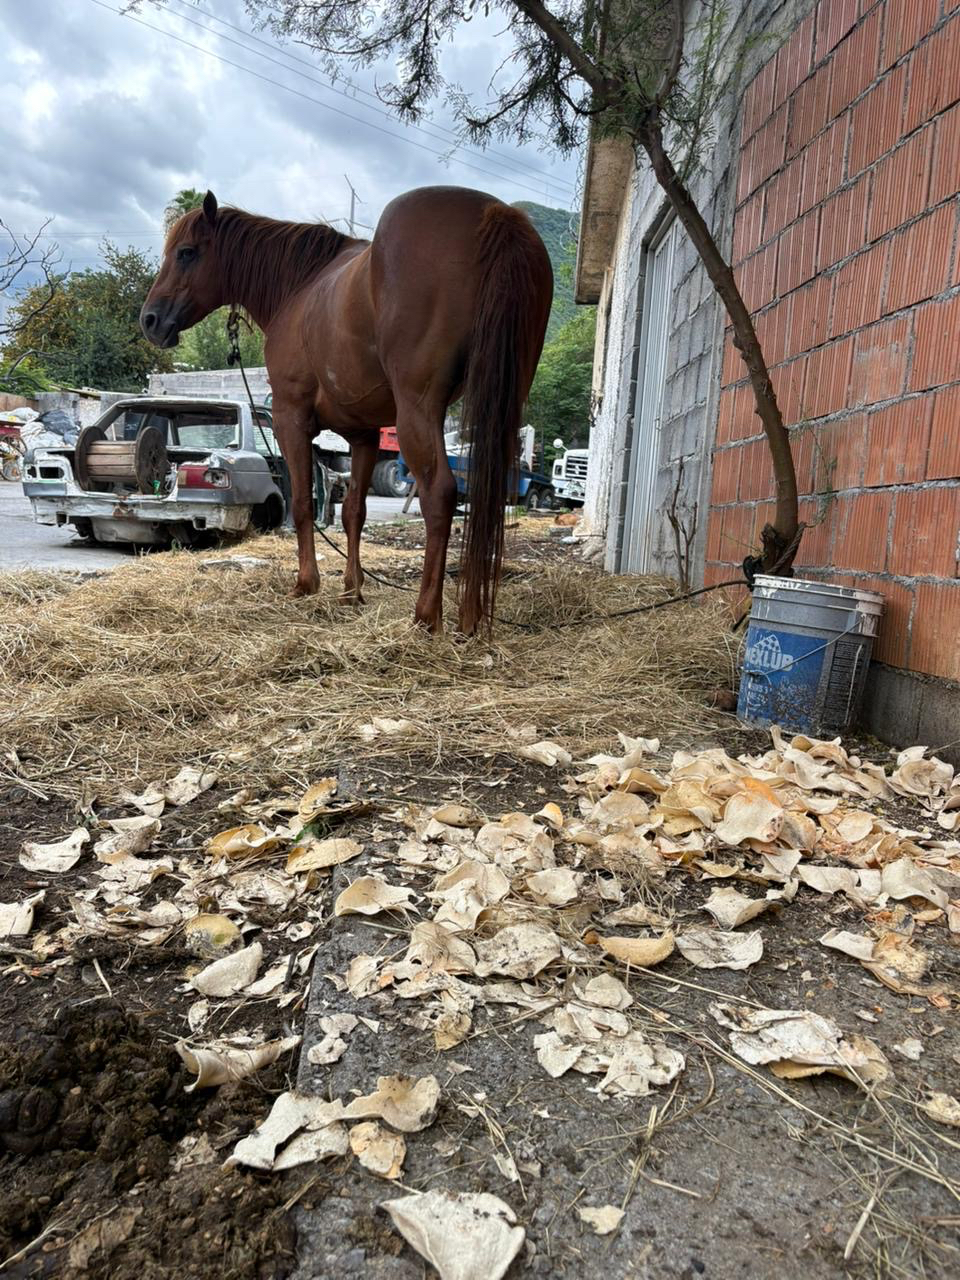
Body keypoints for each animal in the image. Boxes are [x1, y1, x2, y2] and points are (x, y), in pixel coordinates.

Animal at [140, 187, 553, 633]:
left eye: (186, 252)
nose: (149, 320)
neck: (298, 287)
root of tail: (495, 214)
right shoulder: (364, 434)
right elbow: (354, 510)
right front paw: (351, 591)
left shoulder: (290, 418)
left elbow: (304, 504)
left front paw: (307, 583)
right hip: (502, 408)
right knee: (485, 502)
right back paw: (472, 617)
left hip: (419, 410)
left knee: (440, 494)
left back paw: (427, 615)